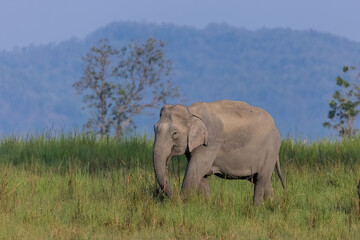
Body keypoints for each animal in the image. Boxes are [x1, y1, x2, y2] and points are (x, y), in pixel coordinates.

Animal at [153, 99, 286, 204]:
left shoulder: (211, 141)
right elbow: (201, 175)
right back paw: (272, 205)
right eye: (154, 128)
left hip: (270, 150)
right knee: (263, 181)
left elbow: (195, 170)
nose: (173, 198)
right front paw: (206, 205)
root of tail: (276, 128)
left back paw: (256, 208)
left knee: (261, 180)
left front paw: (182, 203)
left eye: (175, 133)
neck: (190, 111)